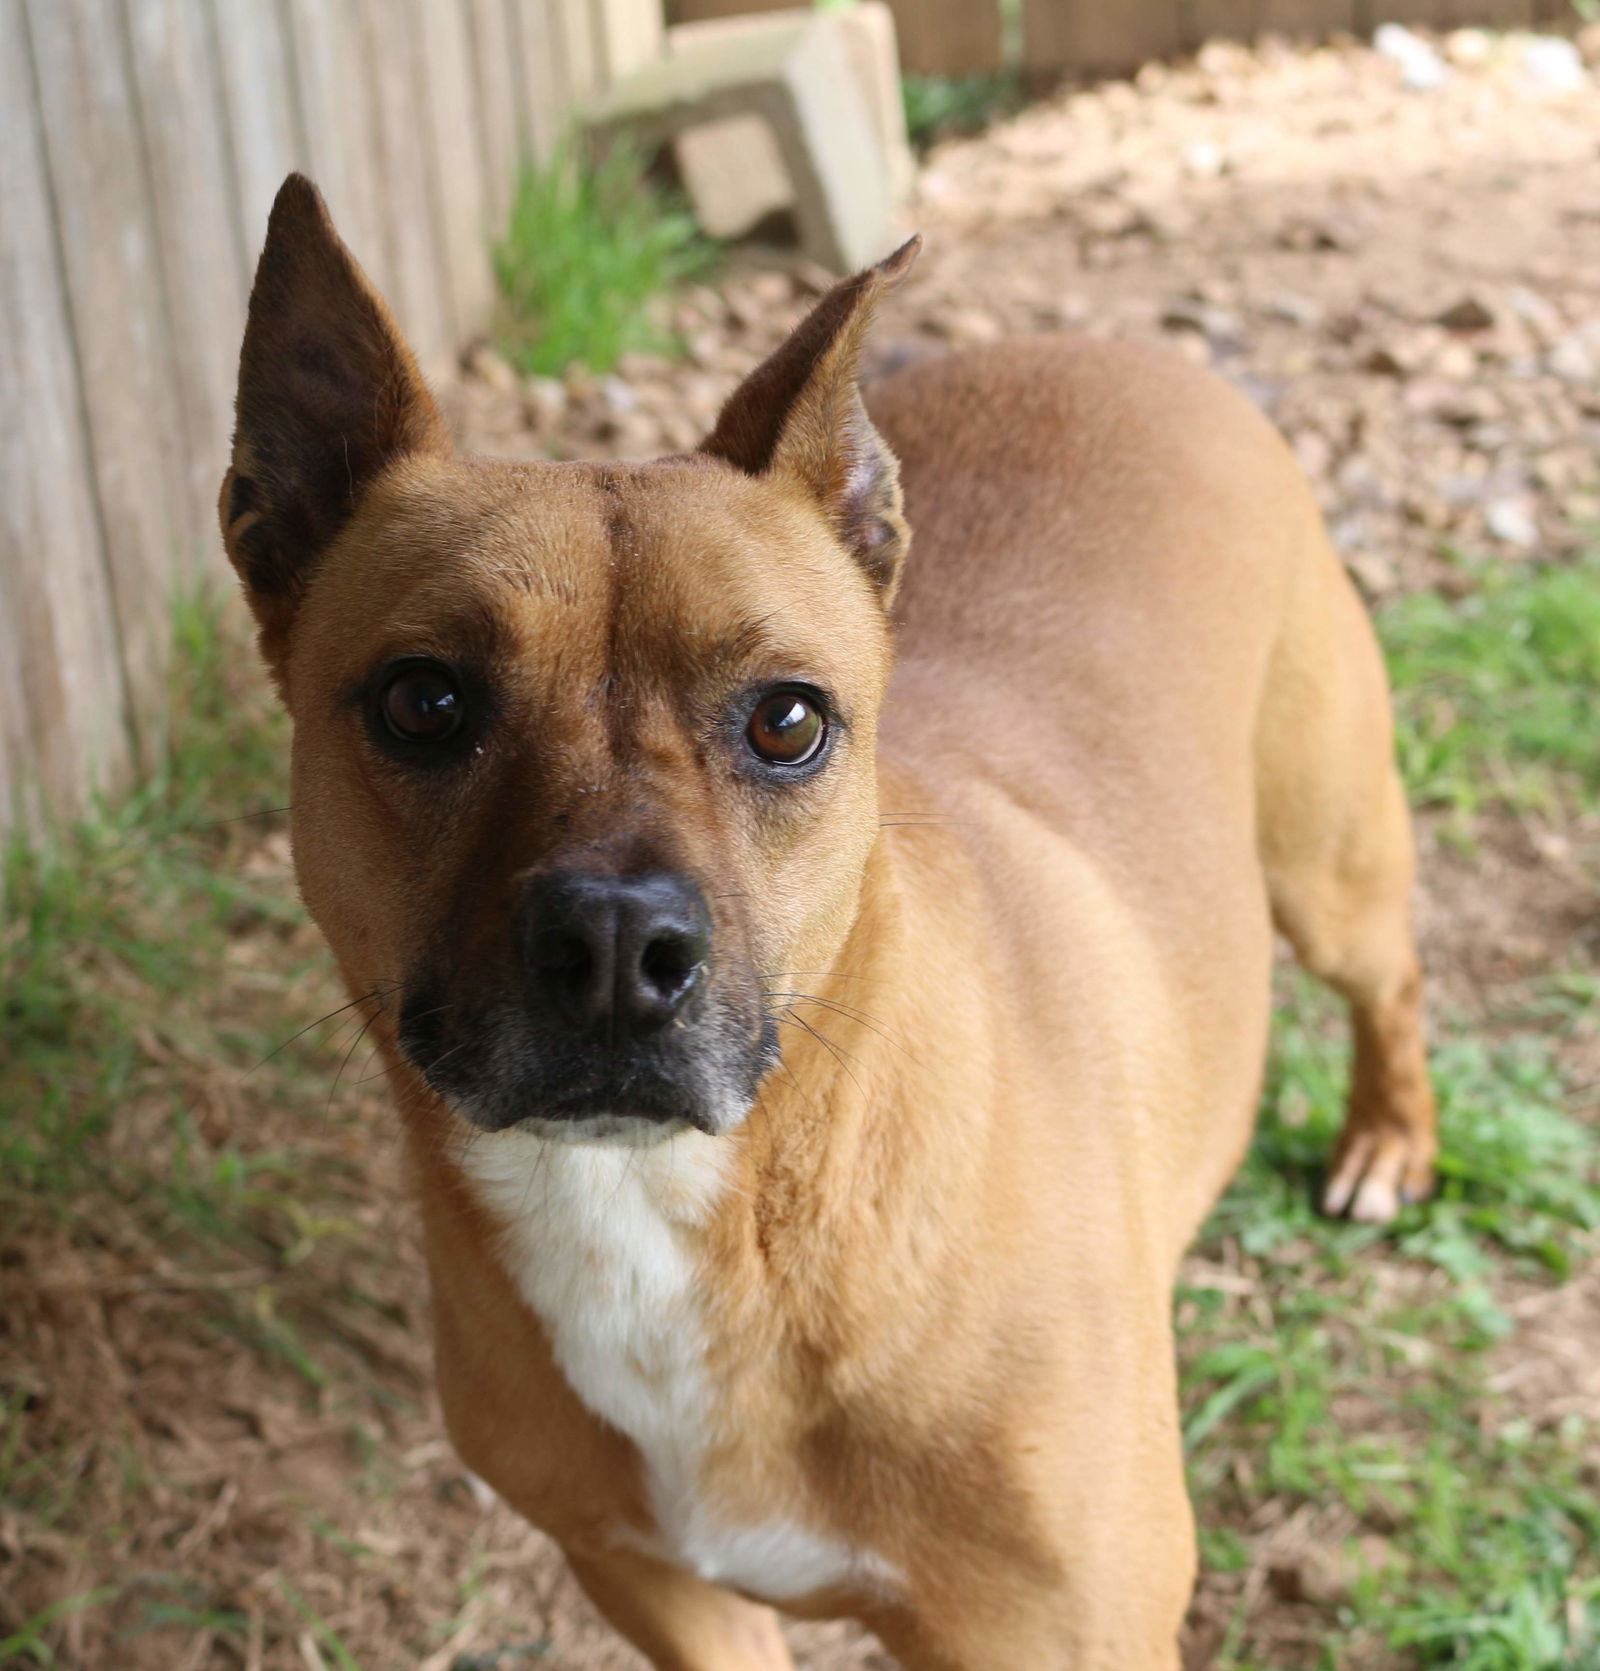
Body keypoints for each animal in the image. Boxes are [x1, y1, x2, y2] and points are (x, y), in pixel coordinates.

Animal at [222, 172, 1443, 1671]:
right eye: (422, 700)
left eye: (788, 720)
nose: (616, 946)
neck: (673, 1216)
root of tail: (1130, 352)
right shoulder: (656, 1585)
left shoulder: (1057, 1630)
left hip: (1331, 866)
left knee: (1389, 978)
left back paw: (1387, 1139)